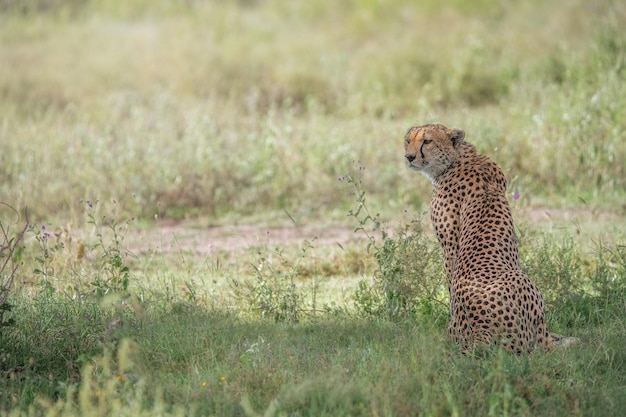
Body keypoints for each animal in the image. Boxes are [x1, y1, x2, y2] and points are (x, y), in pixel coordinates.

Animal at [402, 122, 568, 352]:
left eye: (427, 141)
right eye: (408, 140)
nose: (409, 156)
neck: (457, 159)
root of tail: (480, 334)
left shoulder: (449, 245)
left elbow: (449, 281)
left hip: (522, 281)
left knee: (545, 344)